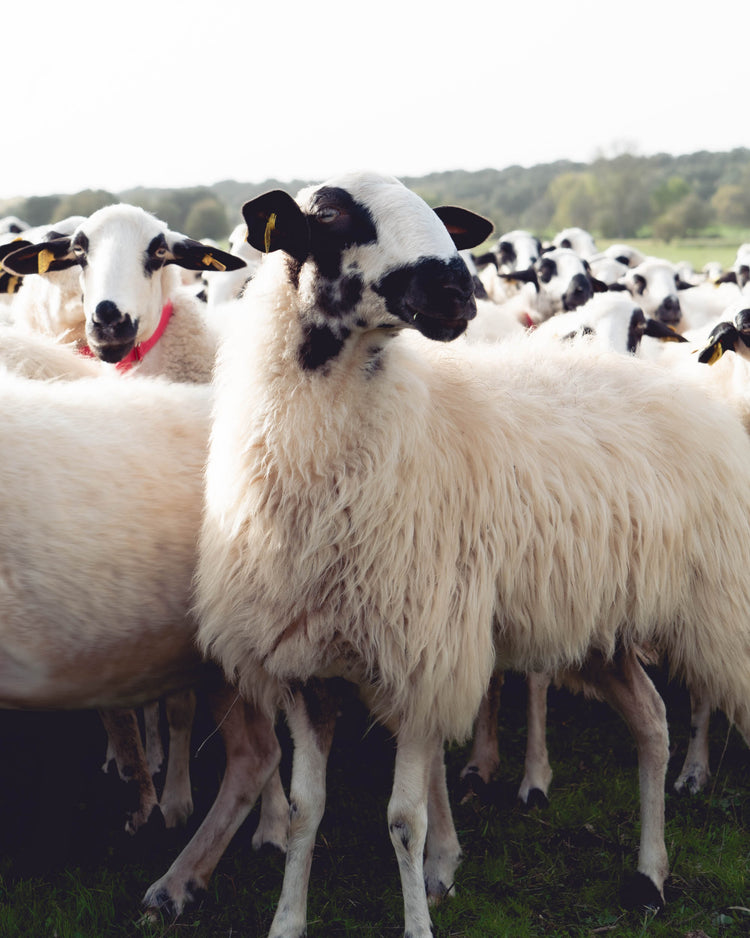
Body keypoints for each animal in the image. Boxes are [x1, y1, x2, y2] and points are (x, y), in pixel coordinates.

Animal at [193, 171, 750, 938]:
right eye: (331, 215)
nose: (458, 291)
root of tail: (677, 386)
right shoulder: (307, 665)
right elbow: (309, 809)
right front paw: (286, 921)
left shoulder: (420, 656)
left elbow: (403, 820)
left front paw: (419, 915)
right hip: (596, 624)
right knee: (652, 720)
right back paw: (649, 876)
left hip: (716, 605)